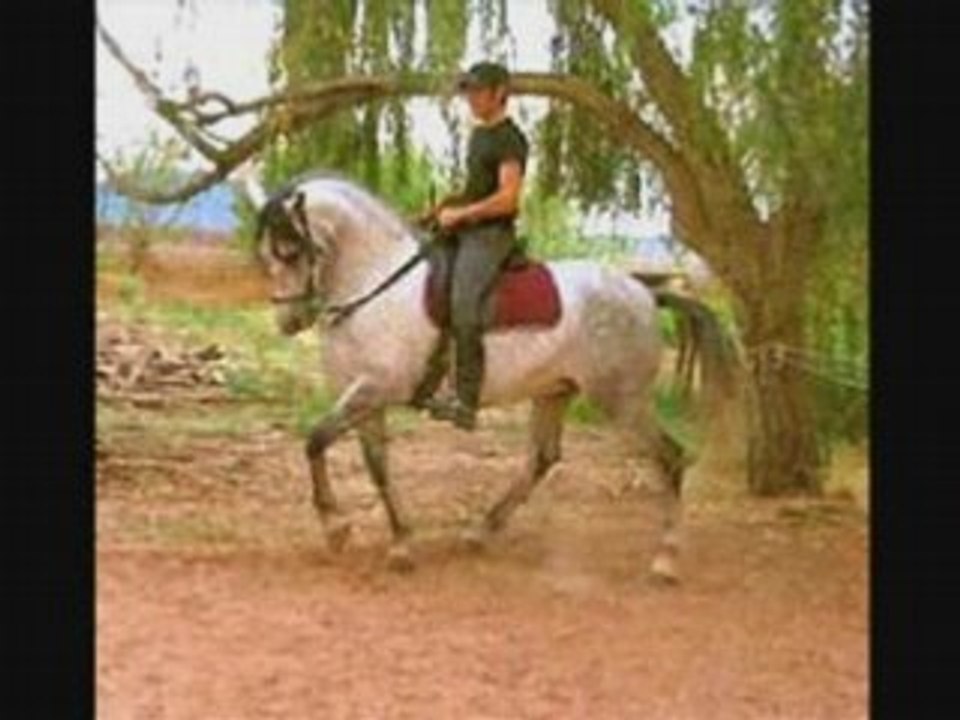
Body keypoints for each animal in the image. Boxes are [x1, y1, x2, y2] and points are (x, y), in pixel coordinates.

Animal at [241, 169, 737, 583]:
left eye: (291, 251)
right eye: (269, 255)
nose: (288, 321)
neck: (375, 284)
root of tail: (646, 294)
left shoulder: (375, 389)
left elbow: (315, 440)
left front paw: (336, 527)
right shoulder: (365, 398)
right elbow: (374, 465)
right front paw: (400, 543)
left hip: (621, 400)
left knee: (669, 458)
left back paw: (665, 560)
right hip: (554, 392)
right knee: (543, 459)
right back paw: (482, 531)